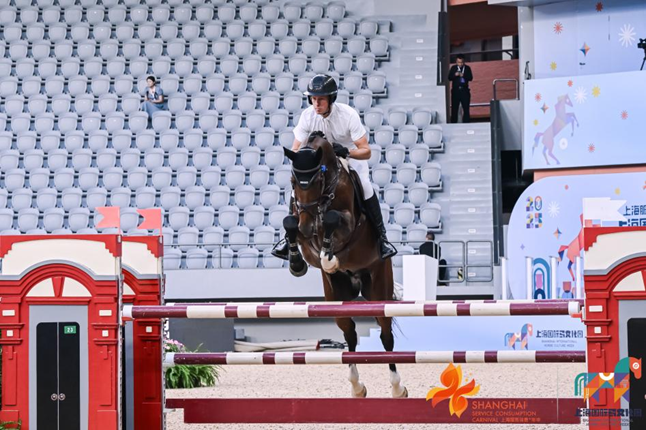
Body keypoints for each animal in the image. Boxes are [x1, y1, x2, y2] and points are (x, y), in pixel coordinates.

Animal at [282, 131, 408, 399]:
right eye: (293, 181)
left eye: (317, 180)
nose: (306, 226)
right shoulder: (301, 224)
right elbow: (290, 223)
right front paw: (296, 263)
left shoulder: (348, 222)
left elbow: (332, 219)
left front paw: (329, 259)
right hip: (337, 300)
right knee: (349, 333)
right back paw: (357, 387)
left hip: (378, 291)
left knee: (386, 335)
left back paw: (397, 387)